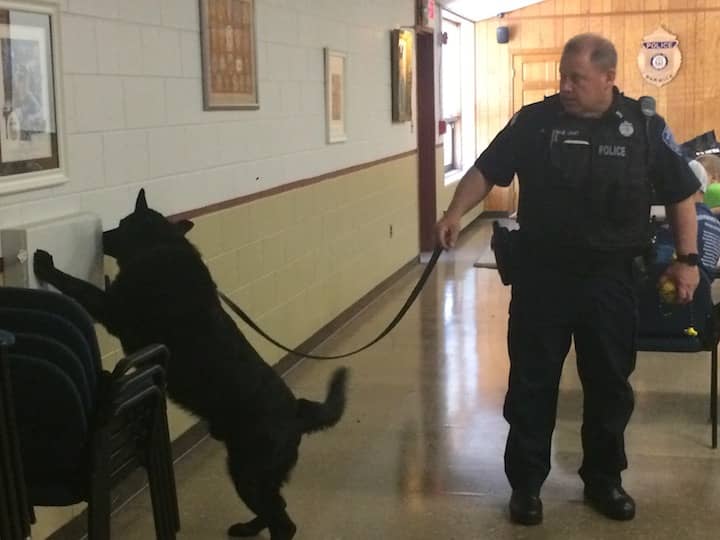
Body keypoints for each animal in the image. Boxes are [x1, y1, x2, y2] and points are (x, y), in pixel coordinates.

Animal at [34, 188, 348, 536]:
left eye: (123, 222)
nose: (103, 235)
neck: (159, 245)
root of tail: (297, 413)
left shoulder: (112, 309)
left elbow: (78, 286)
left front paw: (46, 265)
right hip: (256, 475)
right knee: (277, 508)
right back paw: (247, 528)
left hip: (249, 473)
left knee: (283, 522)